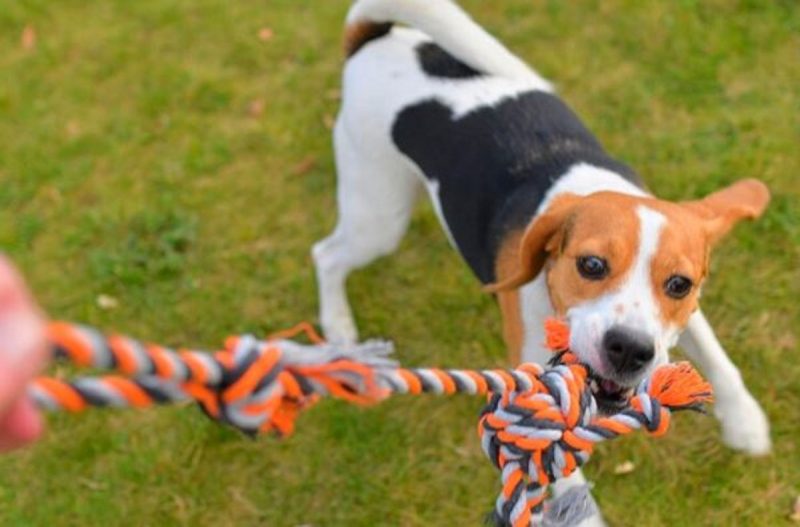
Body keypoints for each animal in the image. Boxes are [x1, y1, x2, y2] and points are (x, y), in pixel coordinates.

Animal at [310, 0, 768, 520]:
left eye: (679, 284)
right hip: (379, 215)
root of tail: (374, 39)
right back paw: (339, 326)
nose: (630, 350)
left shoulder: (684, 317)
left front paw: (745, 421)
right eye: (591, 266)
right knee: (327, 255)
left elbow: (717, 358)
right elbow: (555, 453)